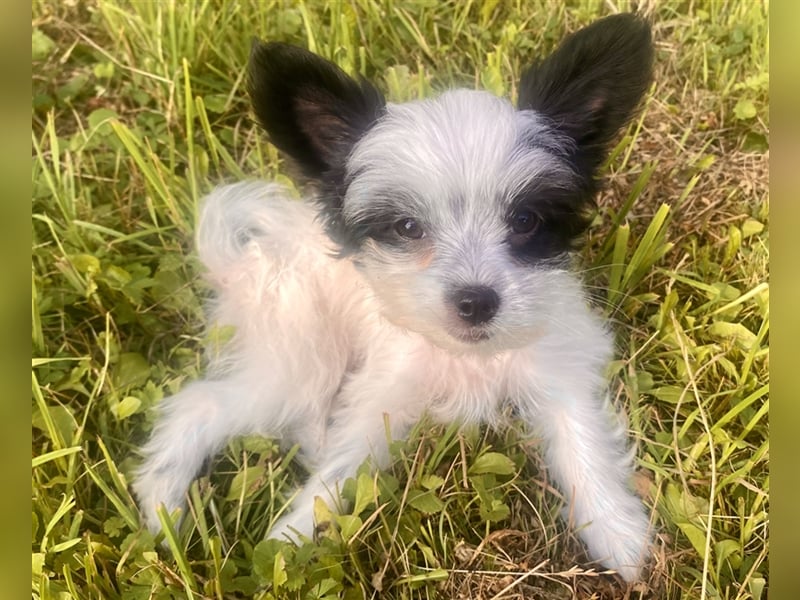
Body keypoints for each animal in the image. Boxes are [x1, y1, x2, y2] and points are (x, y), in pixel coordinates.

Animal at [133, 12, 656, 580]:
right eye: (407, 228)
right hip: (300, 356)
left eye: (524, 221)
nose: (476, 302)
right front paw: (293, 536)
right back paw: (162, 502)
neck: (466, 355)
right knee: (202, 403)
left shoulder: (557, 365)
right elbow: (340, 471)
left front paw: (616, 532)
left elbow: (582, 442)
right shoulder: (383, 394)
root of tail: (247, 256)